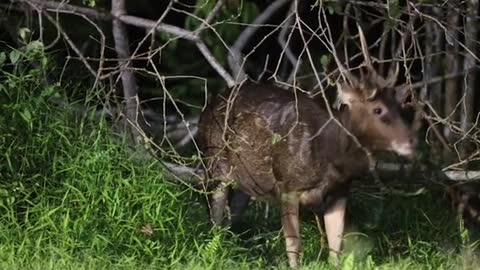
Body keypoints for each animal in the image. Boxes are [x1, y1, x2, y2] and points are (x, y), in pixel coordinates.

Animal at [197, 26, 418, 266]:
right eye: (377, 109)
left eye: (401, 107)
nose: (411, 141)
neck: (331, 158)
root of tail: (208, 106)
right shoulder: (286, 186)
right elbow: (294, 247)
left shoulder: (340, 192)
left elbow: (336, 247)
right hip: (215, 165)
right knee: (215, 216)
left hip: (246, 182)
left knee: (231, 216)